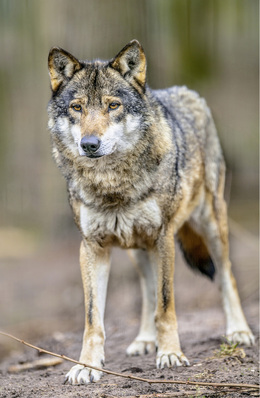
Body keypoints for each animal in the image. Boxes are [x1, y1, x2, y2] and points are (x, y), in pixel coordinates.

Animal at [46, 39, 254, 382]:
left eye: (113, 106)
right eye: (77, 108)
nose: (89, 144)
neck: (112, 184)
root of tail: (186, 91)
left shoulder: (164, 237)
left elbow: (166, 305)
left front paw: (170, 353)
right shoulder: (91, 248)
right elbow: (93, 319)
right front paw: (87, 365)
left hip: (211, 225)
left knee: (227, 276)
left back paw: (239, 331)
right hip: (138, 249)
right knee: (146, 290)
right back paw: (144, 339)